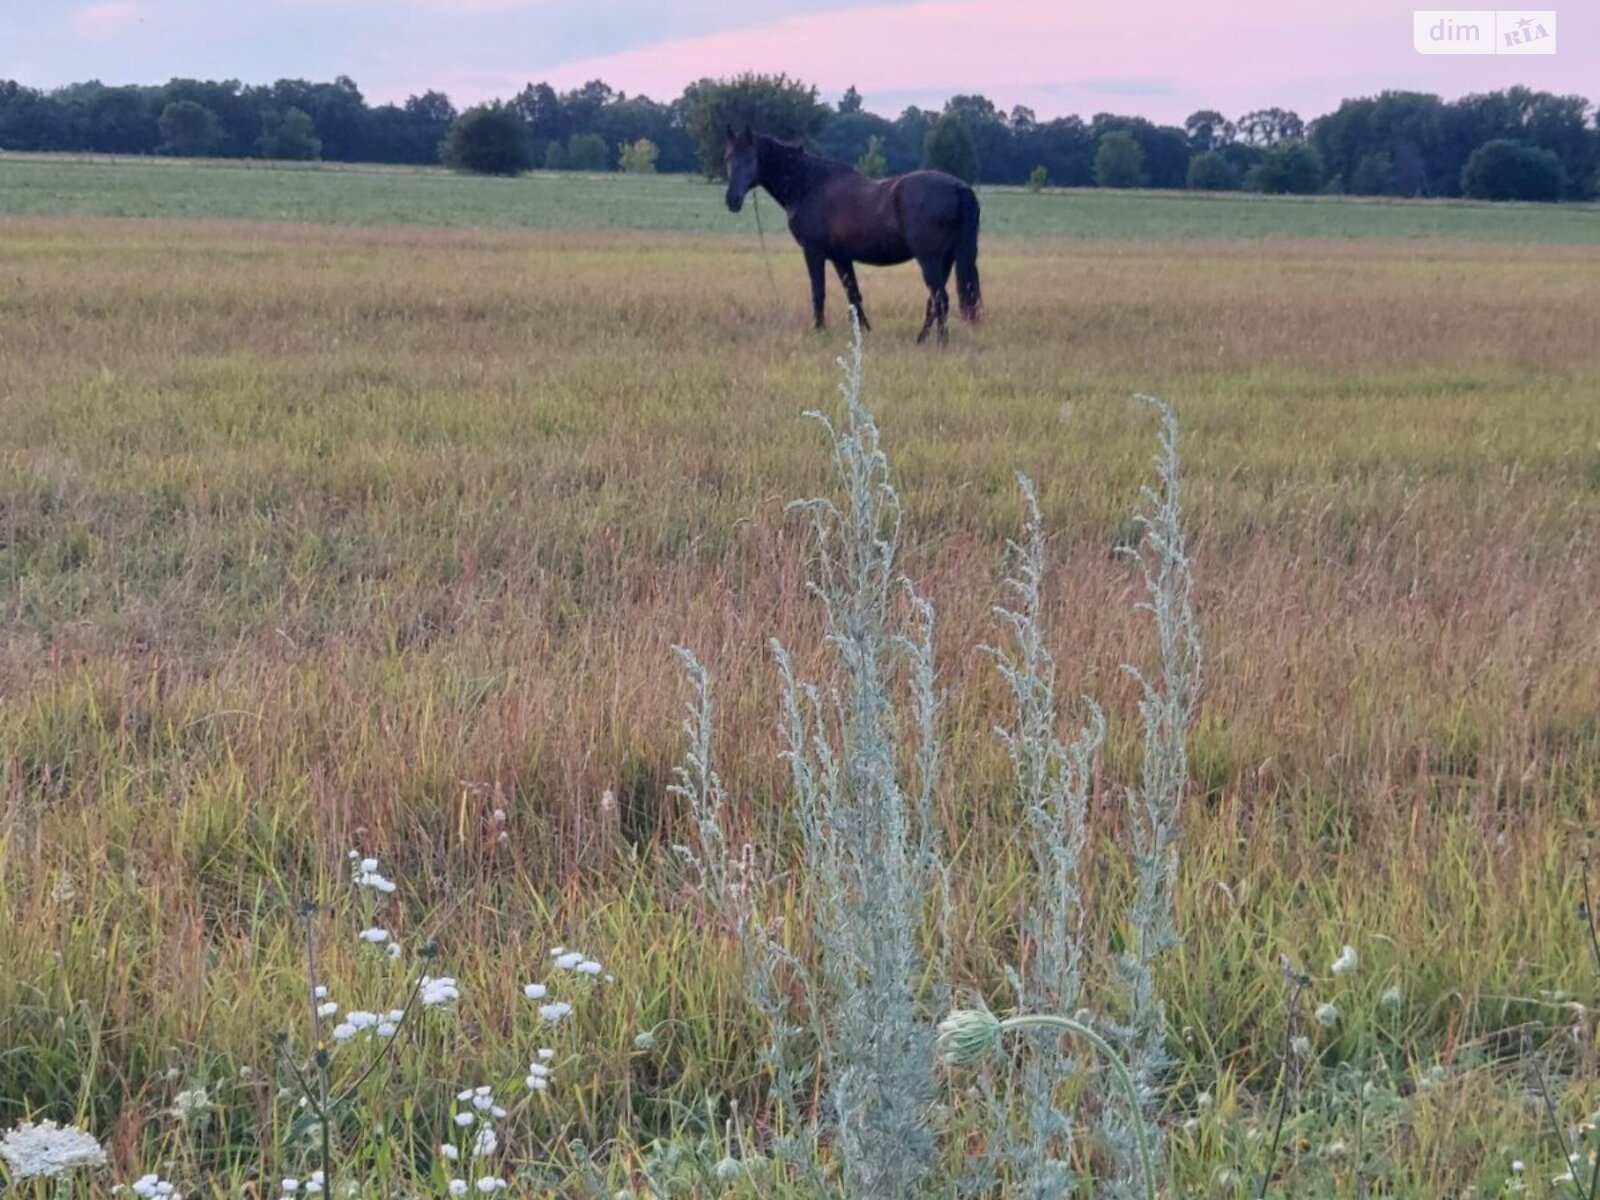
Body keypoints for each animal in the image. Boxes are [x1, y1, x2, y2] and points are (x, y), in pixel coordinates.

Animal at [723, 129, 972, 345]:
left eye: (751, 158)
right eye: (729, 157)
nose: (732, 200)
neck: (810, 186)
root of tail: (958, 186)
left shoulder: (814, 252)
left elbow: (818, 292)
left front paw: (818, 330)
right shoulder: (841, 257)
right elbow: (853, 294)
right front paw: (862, 333)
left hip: (929, 259)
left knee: (941, 299)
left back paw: (941, 343)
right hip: (944, 260)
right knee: (933, 301)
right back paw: (921, 340)